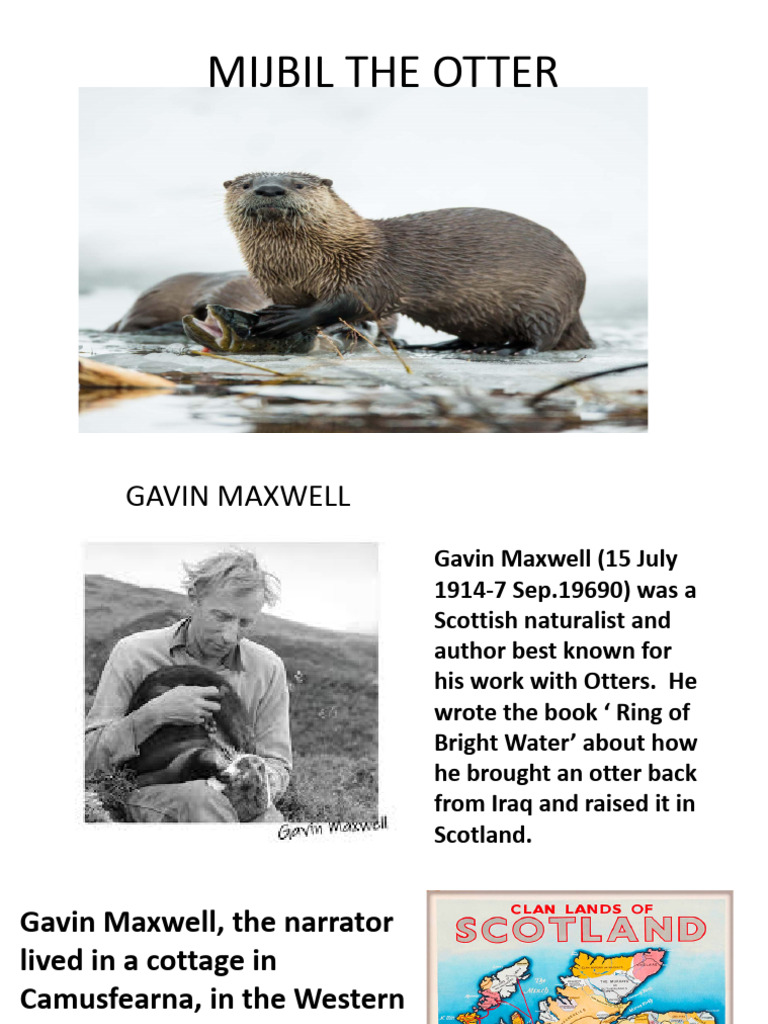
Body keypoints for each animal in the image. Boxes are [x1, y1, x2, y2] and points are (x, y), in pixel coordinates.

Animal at [216, 172, 594, 354]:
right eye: (246, 184)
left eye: (297, 184)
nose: (269, 189)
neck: (300, 267)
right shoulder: (280, 284)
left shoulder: (368, 270)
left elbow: (352, 303)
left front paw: (289, 319)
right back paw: (443, 345)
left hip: (547, 299)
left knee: (542, 338)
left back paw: (511, 351)